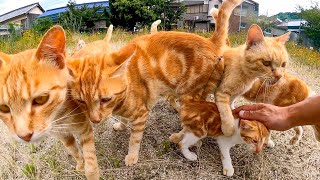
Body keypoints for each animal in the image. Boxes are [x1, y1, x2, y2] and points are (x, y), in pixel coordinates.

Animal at [0, 26, 99, 179]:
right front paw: (80, 165)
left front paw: (91, 172)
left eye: (41, 99)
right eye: (4, 107)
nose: (24, 136)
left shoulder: (85, 130)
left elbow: (90, 158)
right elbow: (74, 151)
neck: (59, 118)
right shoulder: (64, 137)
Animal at [67, 0, 242, 166]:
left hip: (190, 94)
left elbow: (134, 140)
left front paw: (132, 158)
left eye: (105, 99)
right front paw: (121, 125)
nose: (95, 120)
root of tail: (210, 41)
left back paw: (179, 136)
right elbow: (123, 119)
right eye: (81, 101)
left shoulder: (141, 115)